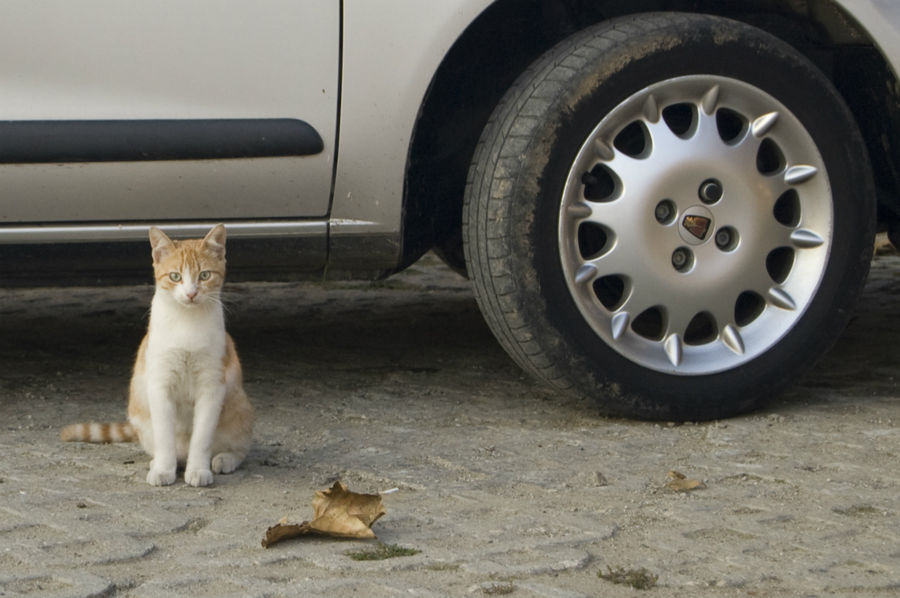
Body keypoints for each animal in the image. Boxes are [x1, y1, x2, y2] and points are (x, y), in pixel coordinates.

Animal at [62, 225, 253, 488]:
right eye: (175, 276)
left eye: (204, 275)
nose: (191, 293)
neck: (186, 323)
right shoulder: (160, 384)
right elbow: (164, 436)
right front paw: (163, 469)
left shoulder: (211, 386)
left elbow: (202, 438)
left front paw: (198, 469)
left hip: (240, 408)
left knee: (240, 447)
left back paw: (225, 458)